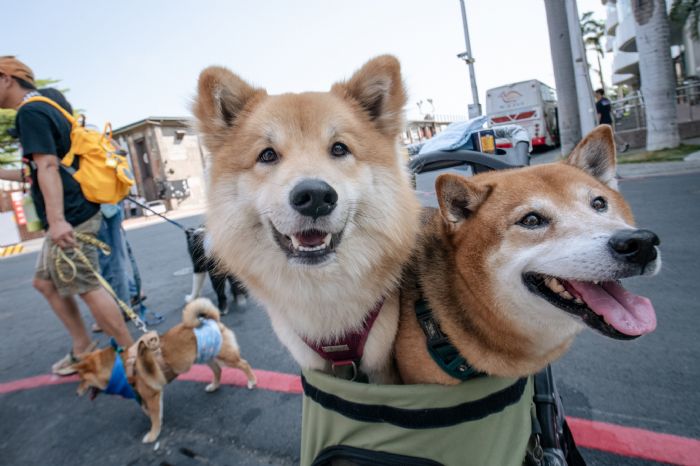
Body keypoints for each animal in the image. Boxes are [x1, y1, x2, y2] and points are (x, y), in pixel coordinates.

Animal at [72, 298, 258, 444]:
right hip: (208, 356)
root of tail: (212, 320)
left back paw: (251, 380)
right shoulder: (144, 396)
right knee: (218, 371)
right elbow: (148, 411)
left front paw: (153, 434)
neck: (121, 367)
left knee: (244, 364)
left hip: (225, 357)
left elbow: (154, 417)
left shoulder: (152, 395)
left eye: (81, 379)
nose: (76, 393)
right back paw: (214, 386)